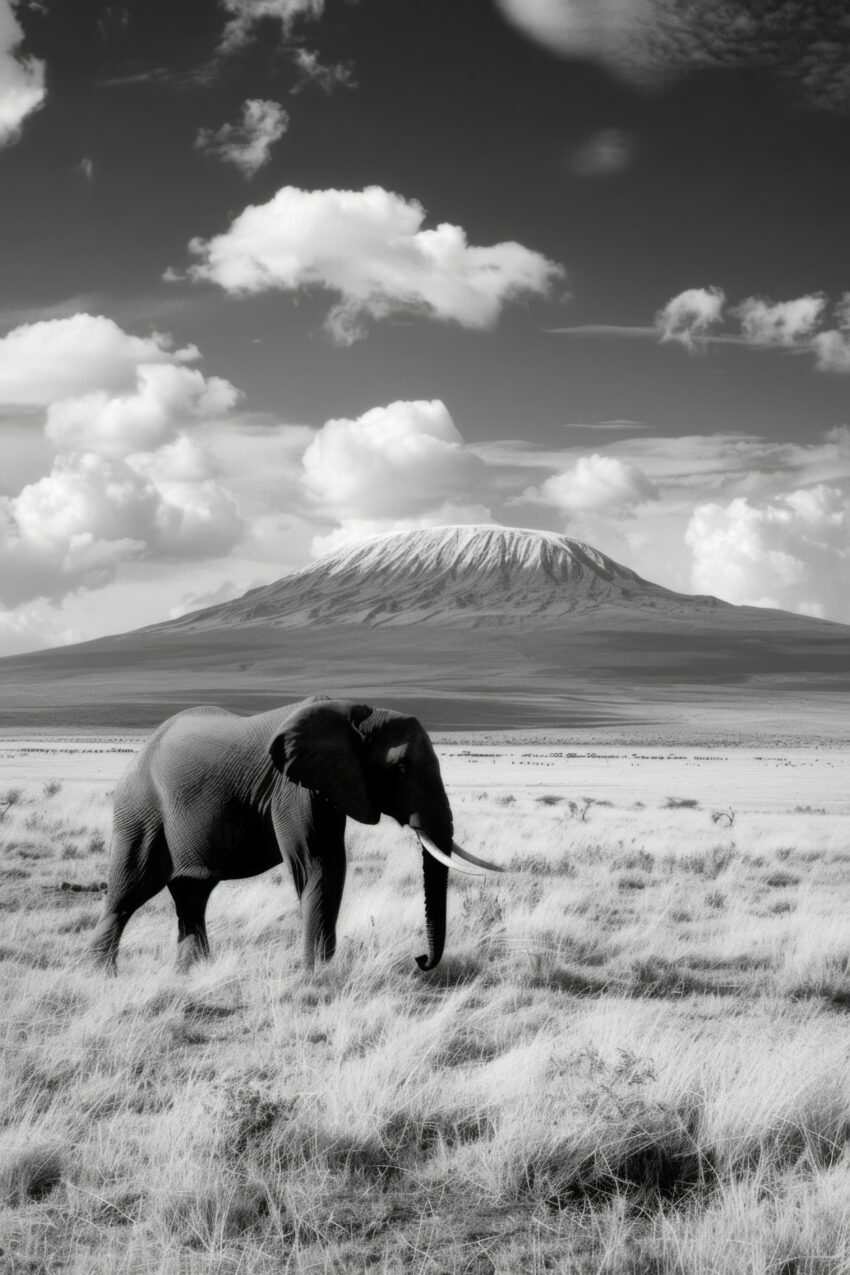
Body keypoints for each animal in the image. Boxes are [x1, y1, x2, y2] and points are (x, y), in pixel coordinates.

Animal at [91, 696, 501, 973]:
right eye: (400, 768)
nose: (420, 959)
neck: (356, 713)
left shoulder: (328, 785)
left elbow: (332, 865)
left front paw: (323, 970)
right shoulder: (292, 789)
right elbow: (316, 864)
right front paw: (316, 975)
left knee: (192, 894)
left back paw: (192, 973)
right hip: (140, 810)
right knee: (128, 890)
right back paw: (104, 975)